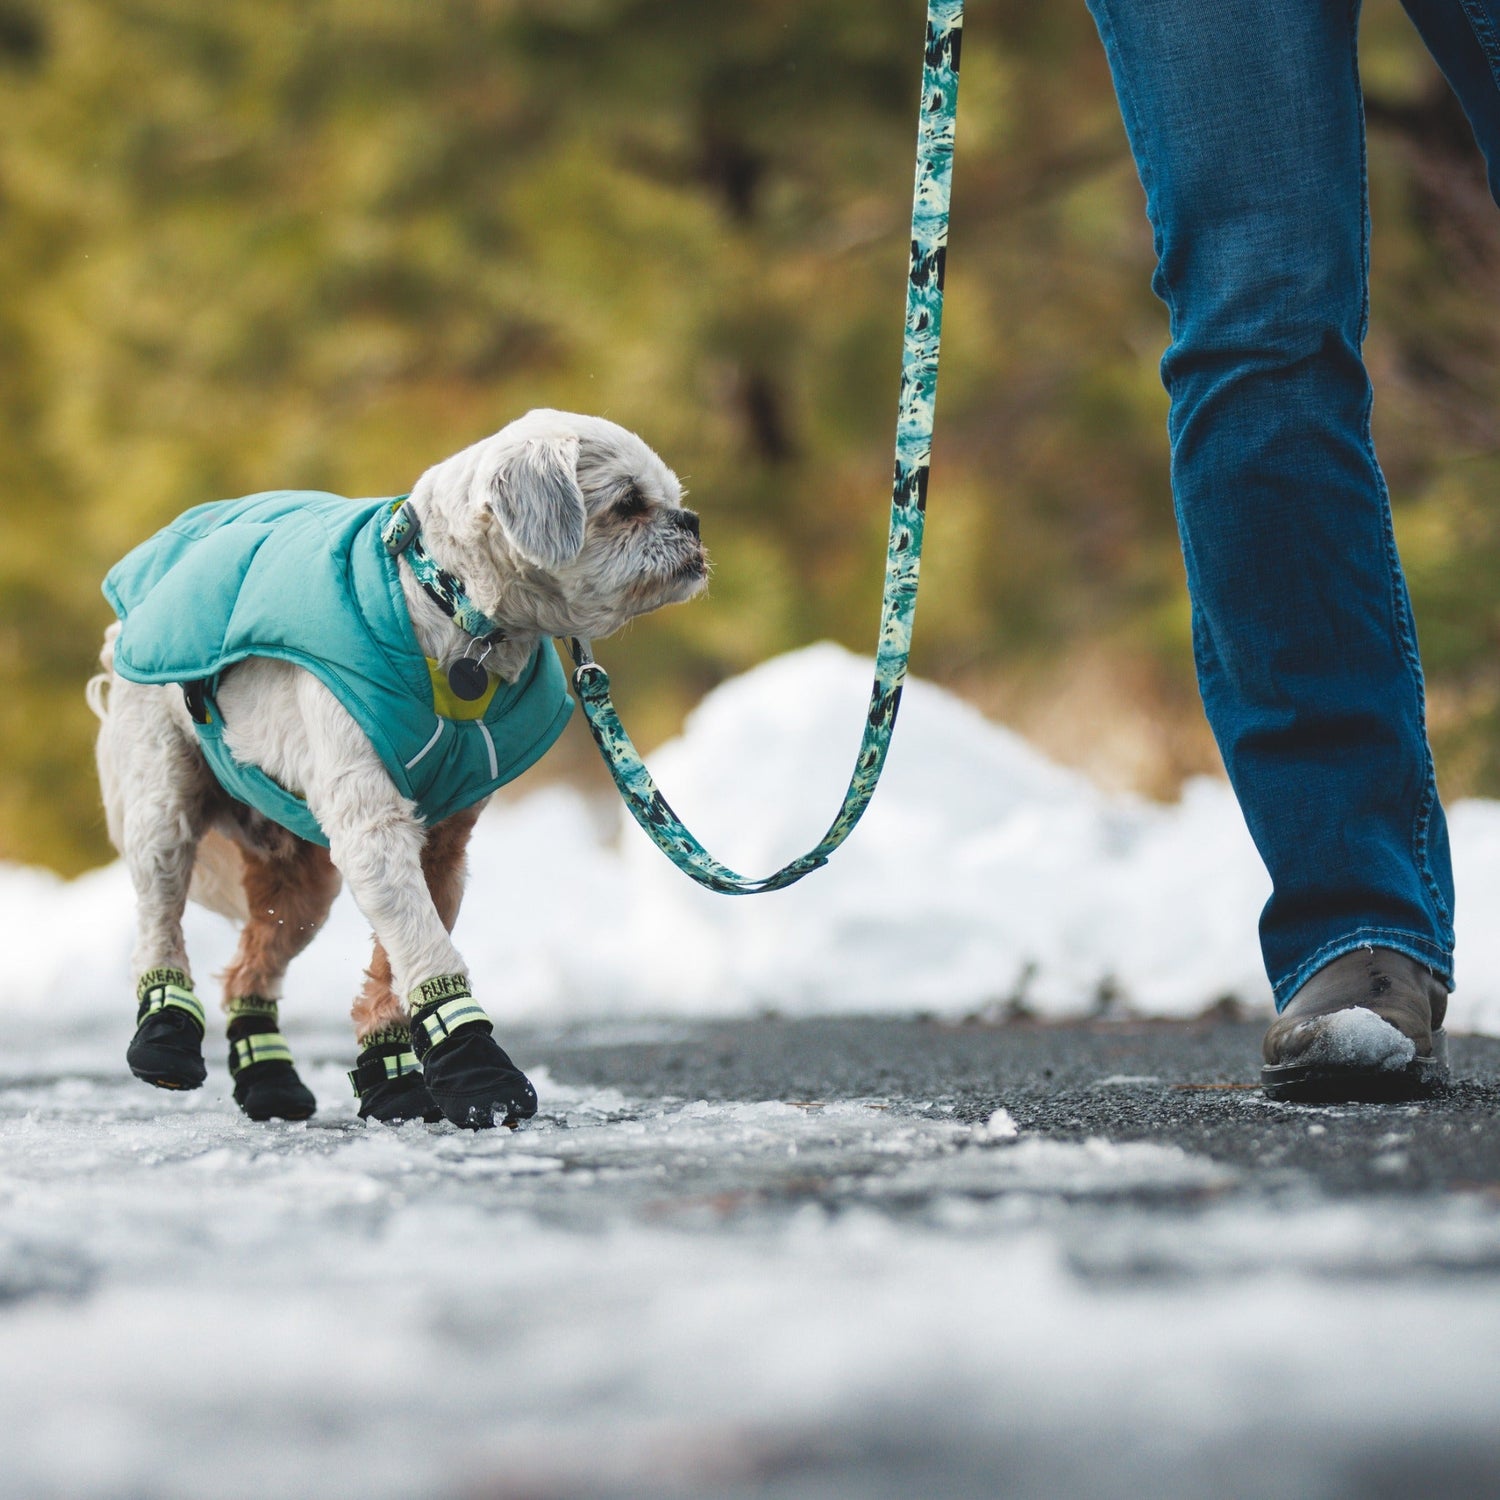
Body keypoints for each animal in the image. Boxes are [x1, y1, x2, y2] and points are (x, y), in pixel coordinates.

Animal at [89, 408, 708, 1128]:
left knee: (249, 970)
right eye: (630, 504)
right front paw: (479, 1069)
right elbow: (424, 945)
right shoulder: (375, 829)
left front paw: (397, 1071)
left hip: (302, 881)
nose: (691, 522)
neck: (450, 611)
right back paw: (164, 1033)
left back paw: (270, 1077)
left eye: (671, 498)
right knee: (160, 913)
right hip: (163, 804)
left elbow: (397, 959)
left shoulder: (440, 842)